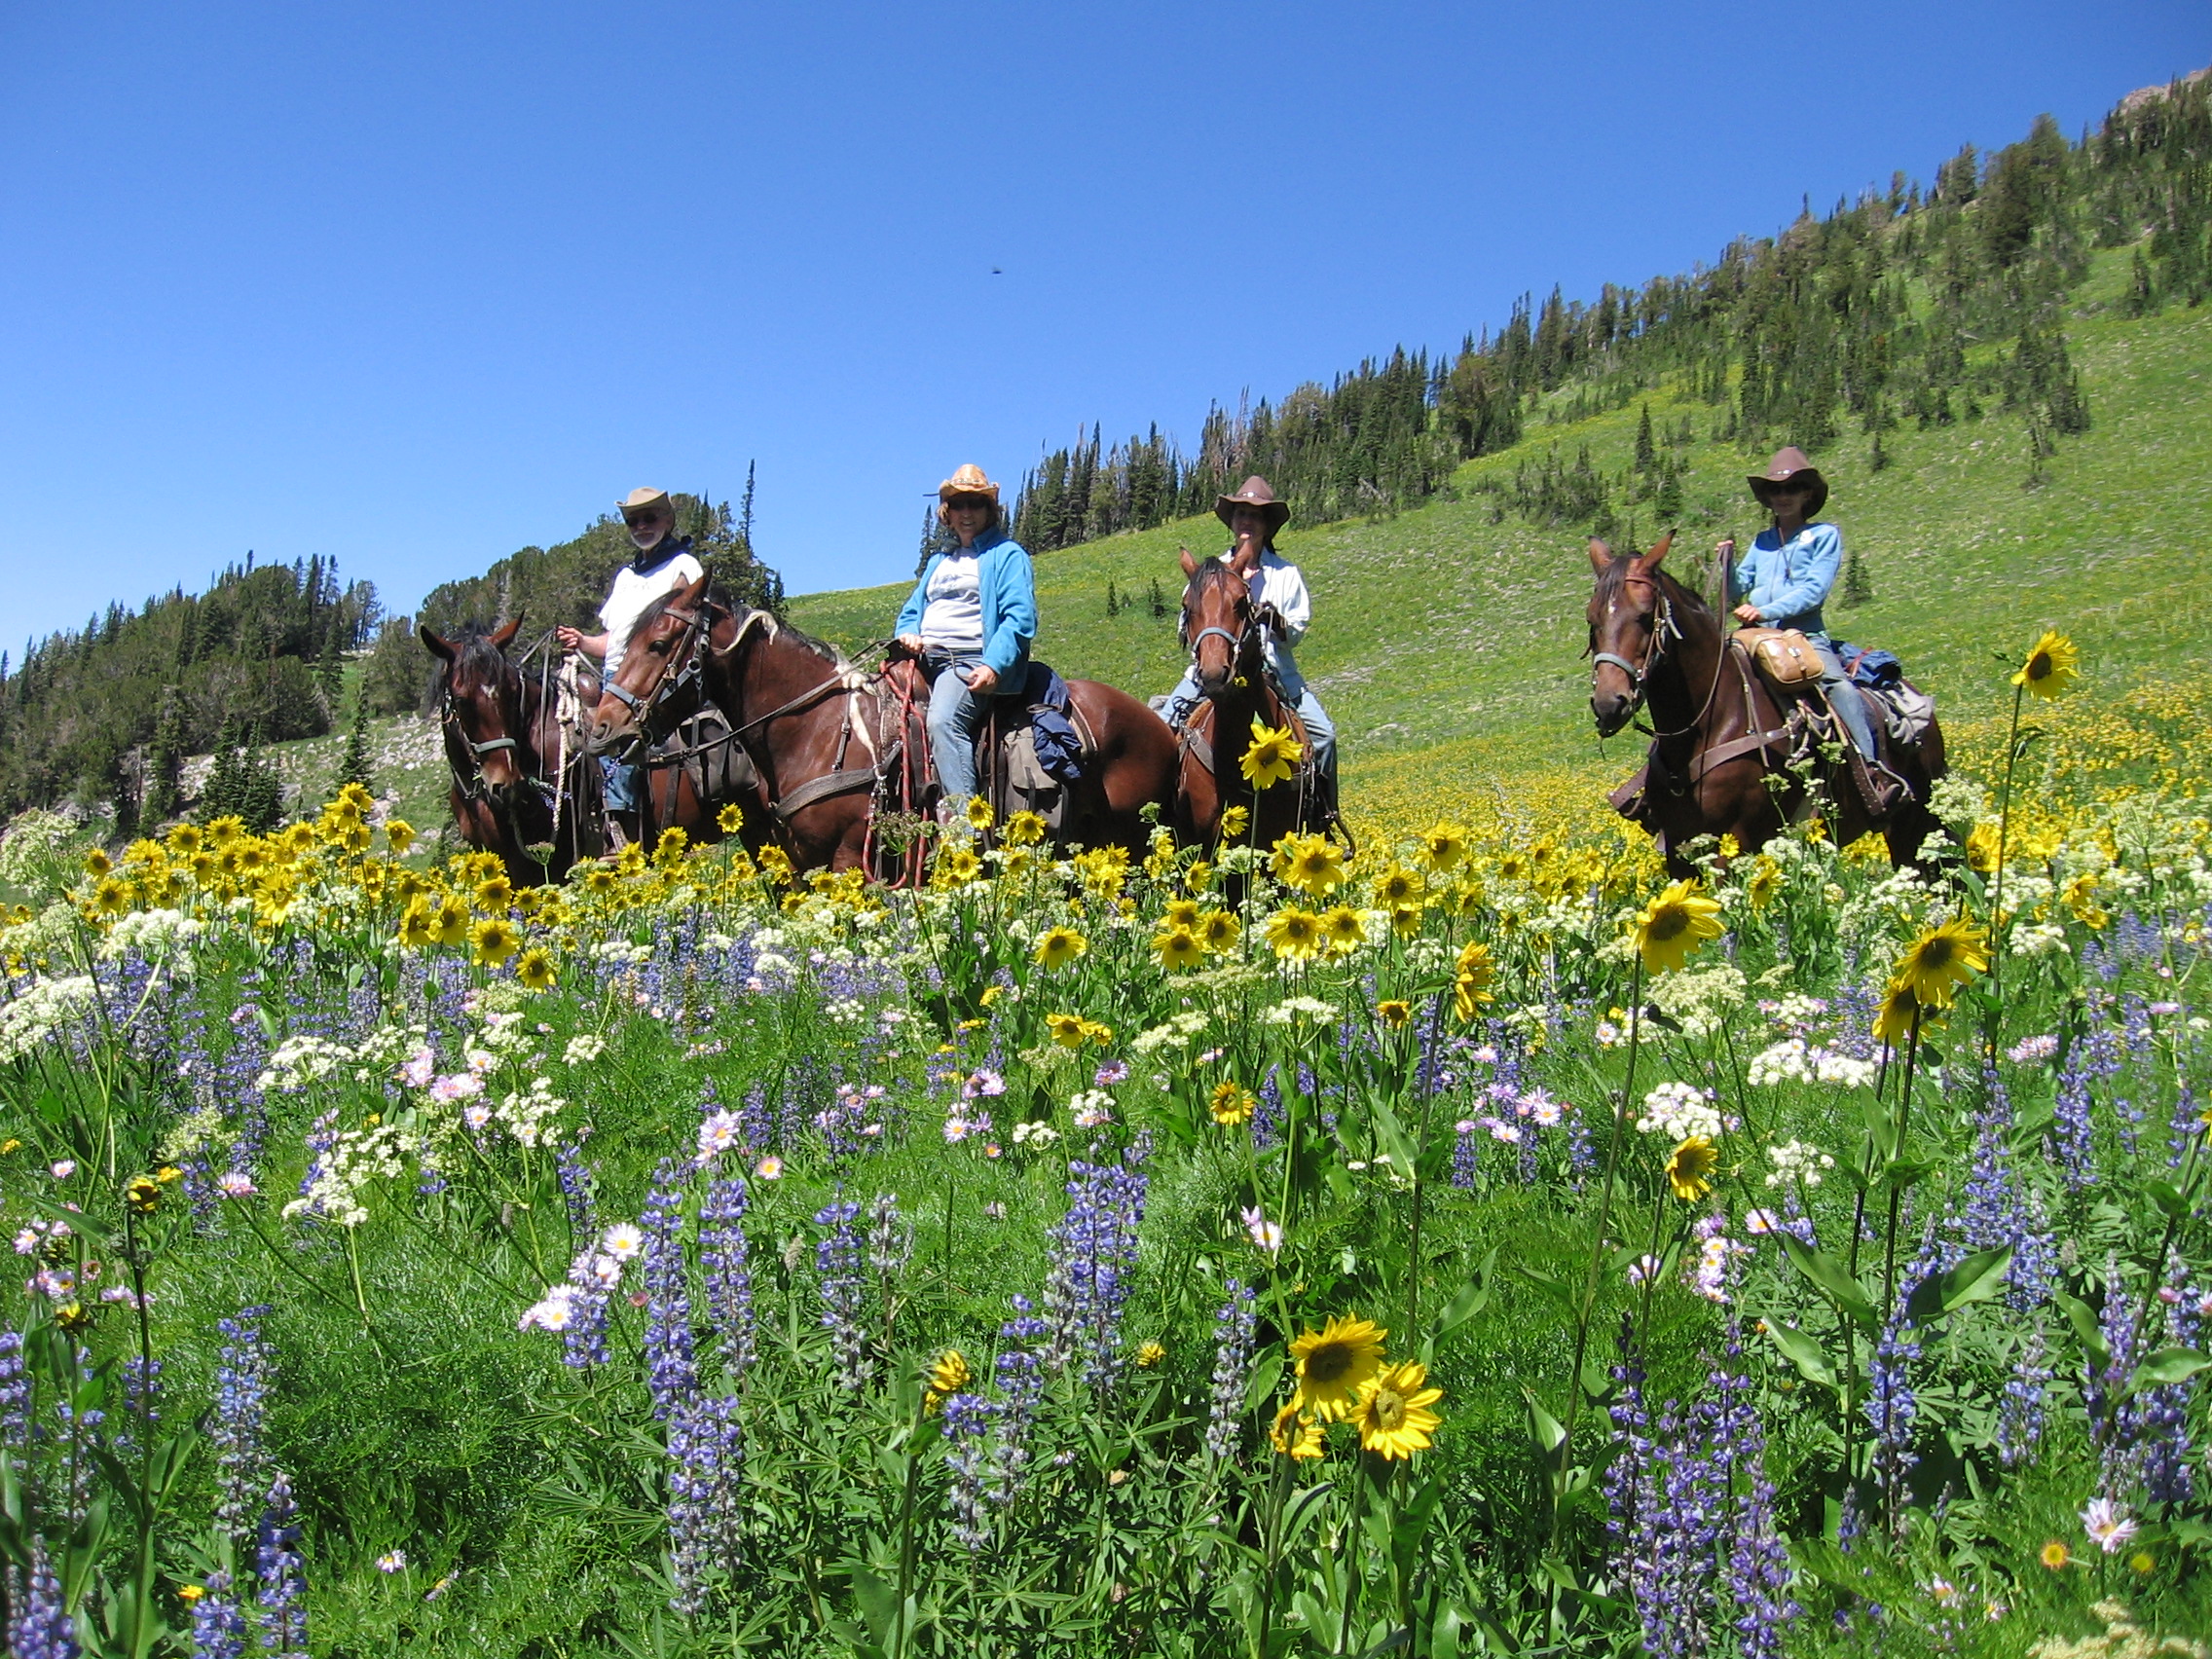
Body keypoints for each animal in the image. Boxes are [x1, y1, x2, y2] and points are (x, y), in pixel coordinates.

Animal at [579, 574, 1185, 884]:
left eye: (659, 643)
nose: (604, 726)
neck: (816, 730)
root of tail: (1159, 725)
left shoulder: (850, 860)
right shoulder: (802, 863)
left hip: (1134, 846)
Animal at [1583, 535, 1946, 884]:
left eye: (1645, 617)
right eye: (1592, 620)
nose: (1609, 703)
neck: (1709, 724)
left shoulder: (1733, 842)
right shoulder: (1679, 847)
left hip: (1919, 821)